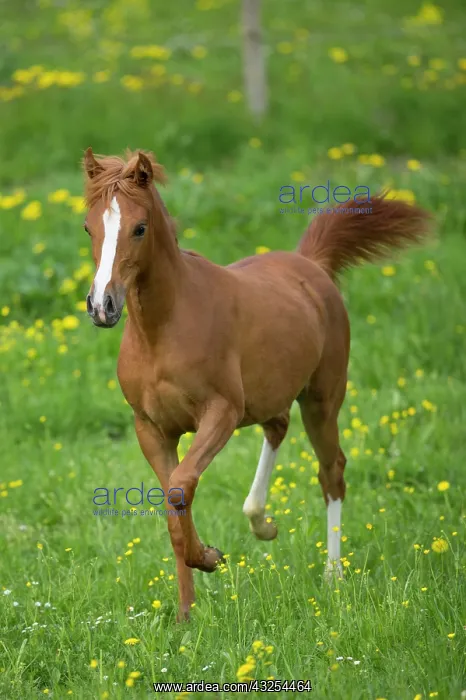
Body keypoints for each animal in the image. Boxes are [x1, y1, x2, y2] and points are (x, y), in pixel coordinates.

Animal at [82, 147, 430, 621]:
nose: (102, 306)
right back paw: (262, 522)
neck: (163, 329)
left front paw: (210, 558)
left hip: (322, 400)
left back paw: (332, 576)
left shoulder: (221, 414)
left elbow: (181, 486)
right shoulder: (151, 428)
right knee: (278, 427)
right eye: (89, 227)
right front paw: (186, 613)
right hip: (271, 396)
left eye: (139, 227)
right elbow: (173, 504)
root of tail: (311, 264)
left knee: (331, 471)